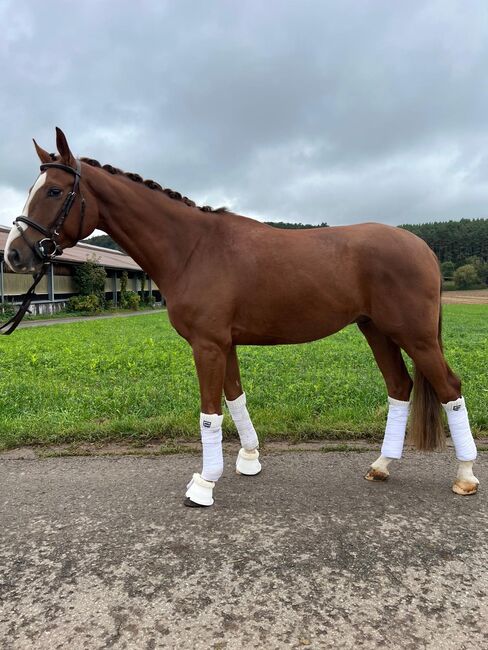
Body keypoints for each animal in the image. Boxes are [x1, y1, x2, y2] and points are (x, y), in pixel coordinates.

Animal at [3, 129, 478, 504]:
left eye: (53, 191)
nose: (15, 254)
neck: (193, 248)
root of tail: (422, 247)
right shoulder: (224, 343)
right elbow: (236, 399)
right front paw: (248, 460)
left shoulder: (207, 345)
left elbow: (210, 413)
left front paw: (203, 484)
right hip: (377, 331)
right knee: (400, 388)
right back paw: (381, 466)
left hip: (415, 336)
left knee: (450, 389)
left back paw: (465, 476)